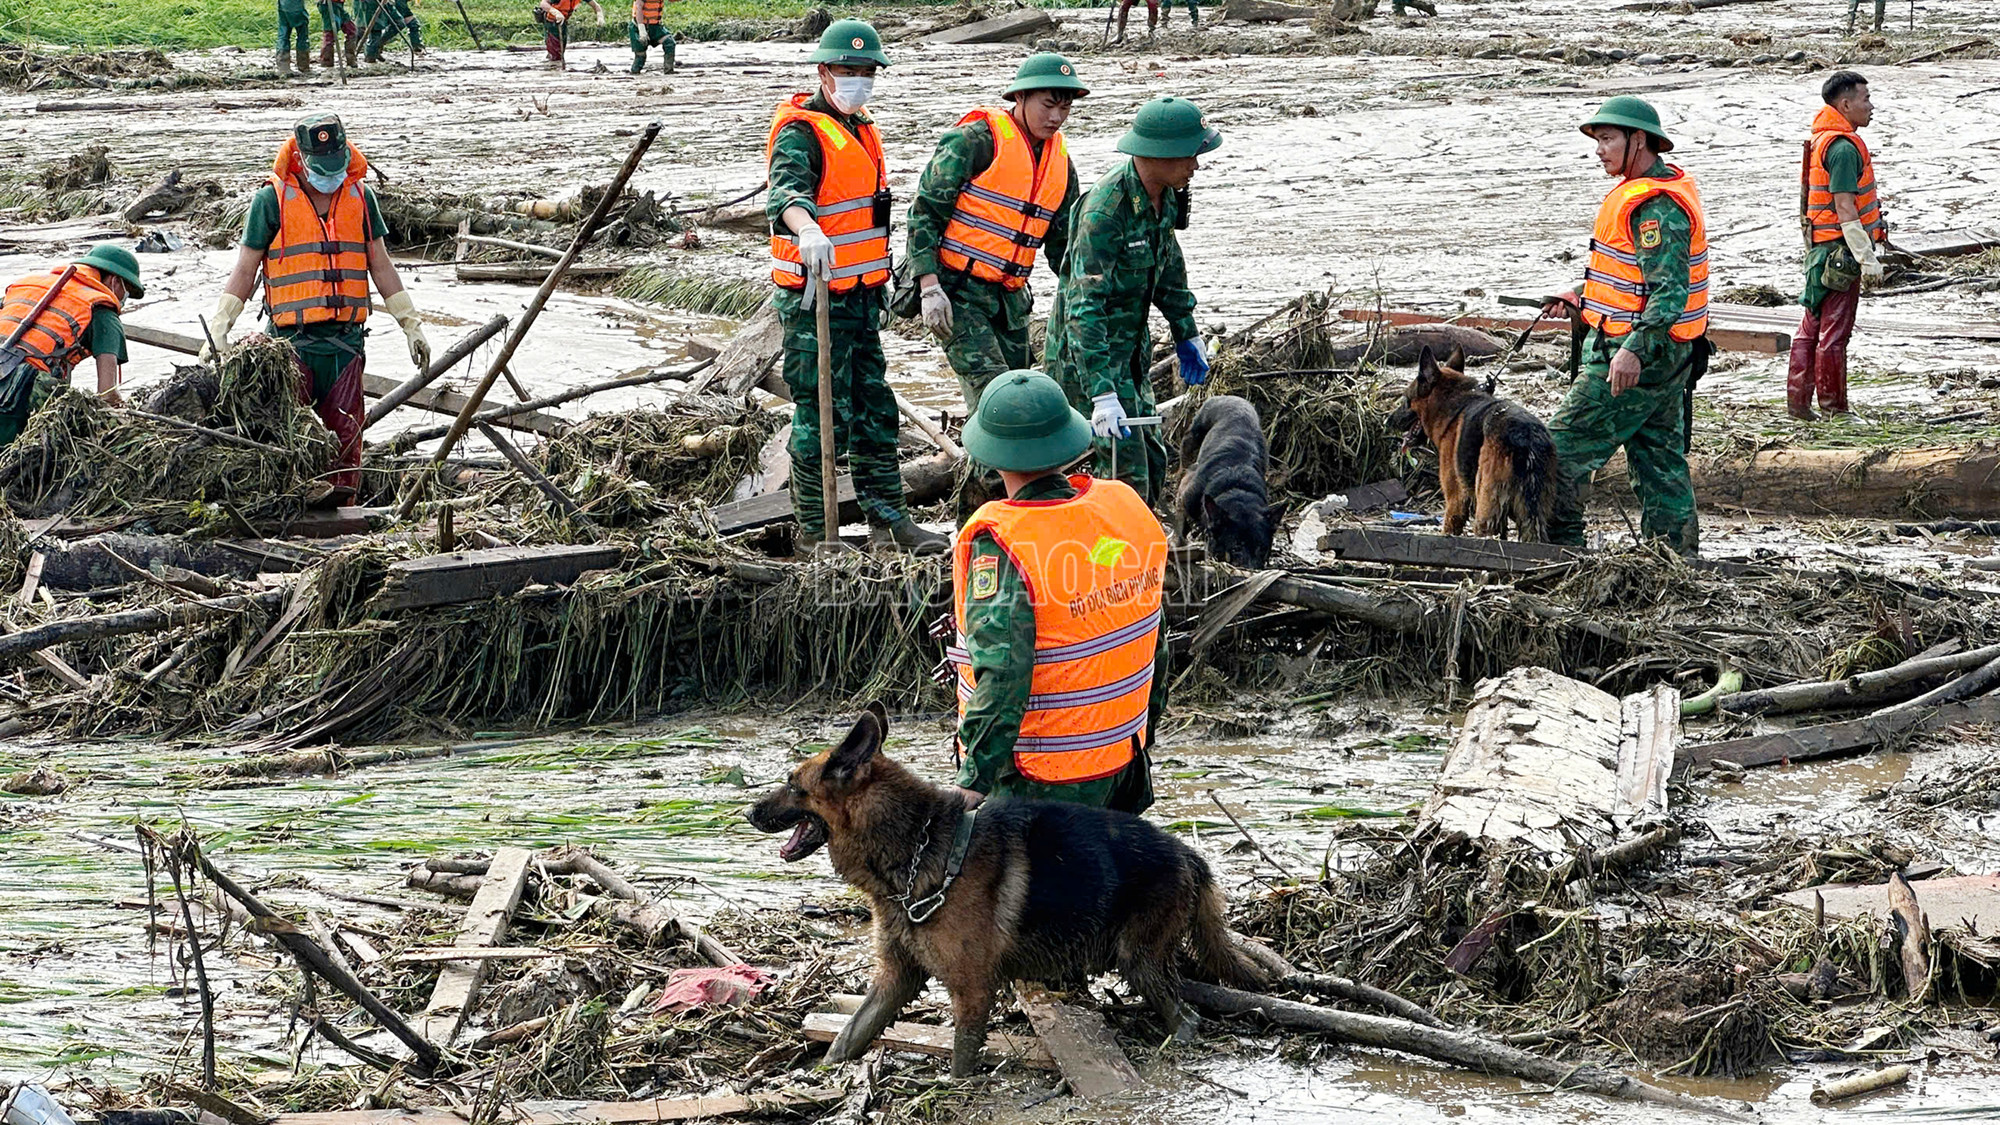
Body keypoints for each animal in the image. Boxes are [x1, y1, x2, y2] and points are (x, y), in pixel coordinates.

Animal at [744, 704, 1272, 1072]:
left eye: (791, 785)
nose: (747, 812)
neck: (914, 844)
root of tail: (1191, 855)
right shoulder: (895, 979)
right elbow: (848, 1035)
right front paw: (822, 1073)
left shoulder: (972, 990)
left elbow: (961, 1058)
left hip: (1136, 957)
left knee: (1187, 1017)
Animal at [1176, 396, 1288, 568]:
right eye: (1236, 548)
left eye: (1263, 550)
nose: (1253, 570)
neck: (1236, 487)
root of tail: (1230, 397)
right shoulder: (1185, 495)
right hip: (1192, 438)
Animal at [1400, 344, 1568, 540]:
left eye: (1405, 401)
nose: (1387, 421)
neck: (1453, 405)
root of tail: (1525, 436)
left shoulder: (1455, 501)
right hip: (1532, 516)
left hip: (1487, 511)